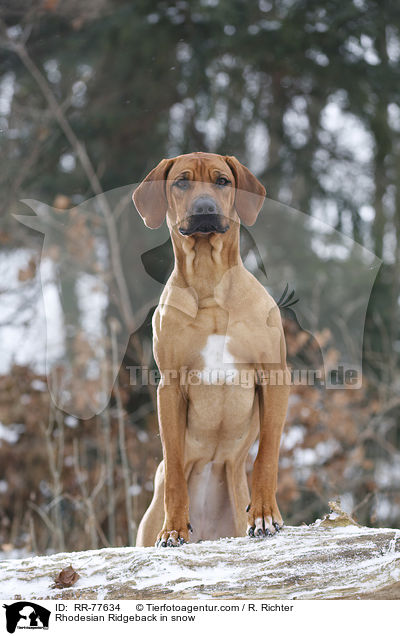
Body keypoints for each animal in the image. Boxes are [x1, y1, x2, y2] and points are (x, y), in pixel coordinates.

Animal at [133, 150, 290, 548]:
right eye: (181, 181)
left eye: (222, 181)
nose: (204, 209)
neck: (209, 284)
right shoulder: (169, 386)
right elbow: (174, 465)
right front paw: (173, 528)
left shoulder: (275, 375)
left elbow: (267, 454)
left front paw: (265, 515)